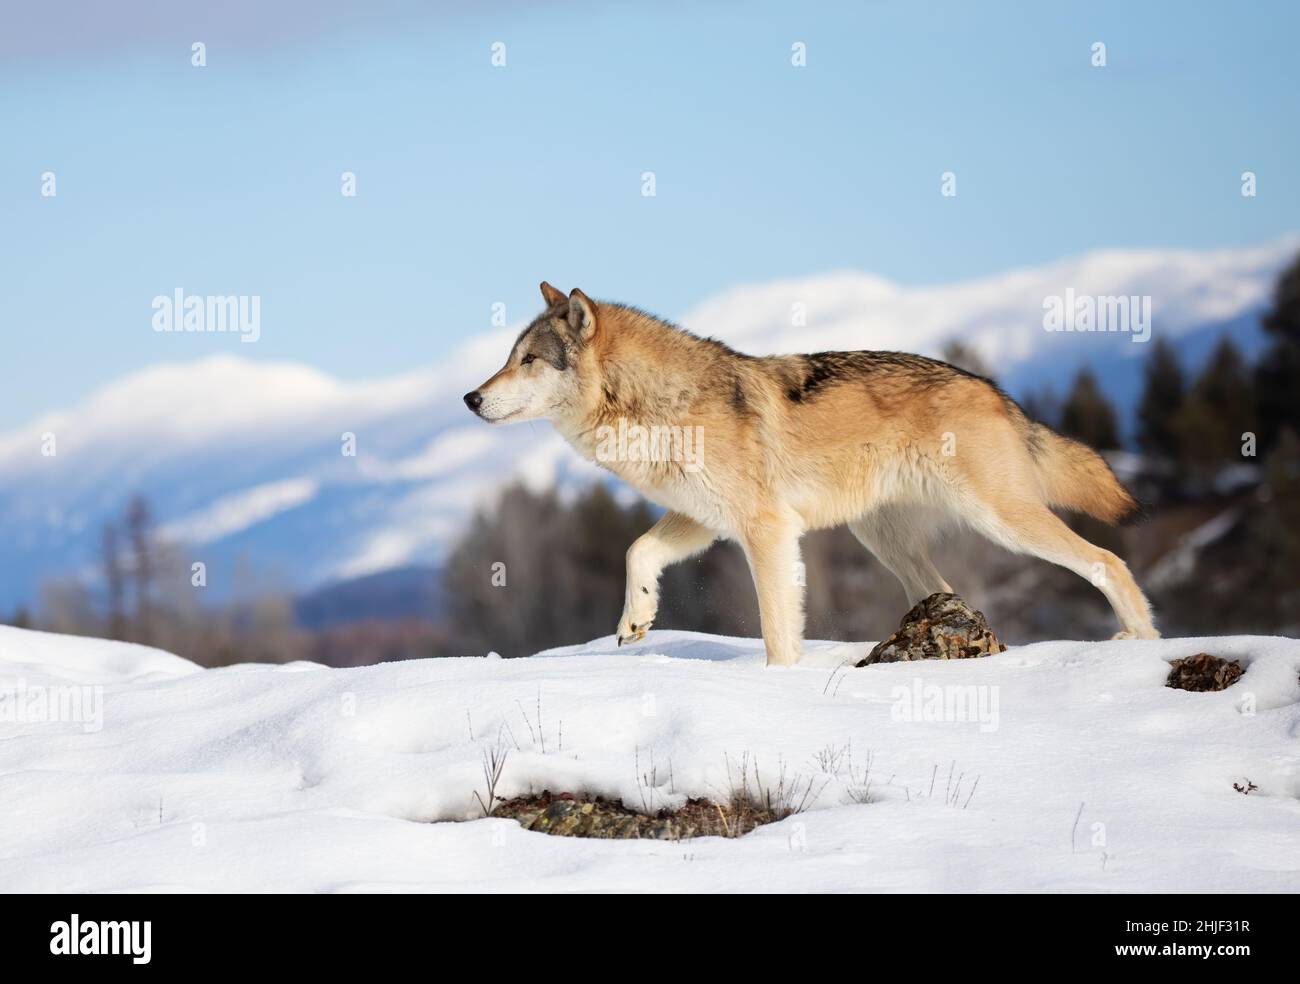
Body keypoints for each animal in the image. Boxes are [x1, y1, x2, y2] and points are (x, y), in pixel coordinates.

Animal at [465, 284, 1159, 665]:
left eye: (528, 361)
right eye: (508, 357)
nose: (470, 398)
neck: (657, 406)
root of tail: (995, 390)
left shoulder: (766, 530)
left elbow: (777, 630)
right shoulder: (704, 518)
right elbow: (638, 550)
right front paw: (635, 619)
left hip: (1002, 521)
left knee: (1108, 560)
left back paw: (1140, 638)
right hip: (886, 543)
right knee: (952, 591)